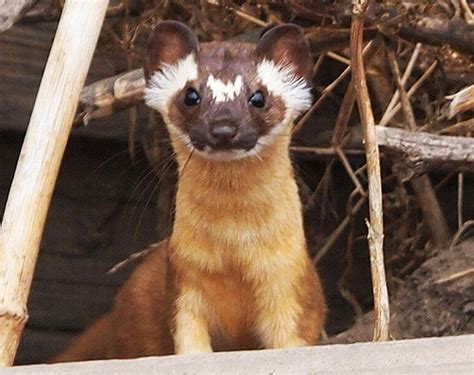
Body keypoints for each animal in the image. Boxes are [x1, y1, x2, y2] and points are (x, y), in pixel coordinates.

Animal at [52, 21, 326, 364]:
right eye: (190, 95)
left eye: (259, 97)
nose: (223, 128)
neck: (234, 257)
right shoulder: (184, 280)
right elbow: (188, 337)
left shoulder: (288, 281)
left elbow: (291, 335)